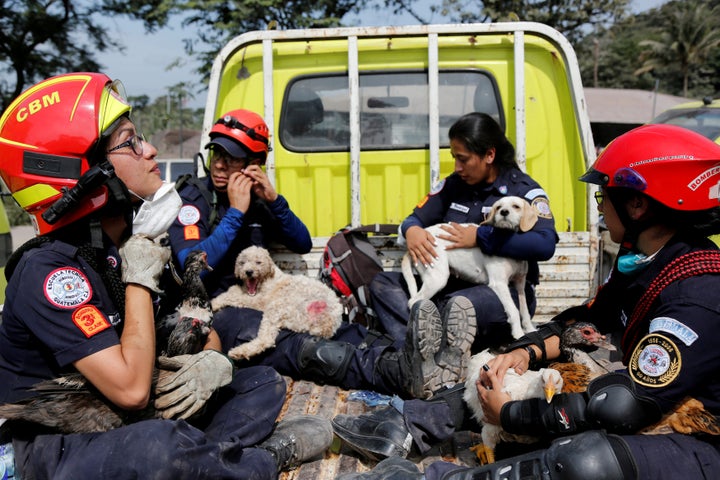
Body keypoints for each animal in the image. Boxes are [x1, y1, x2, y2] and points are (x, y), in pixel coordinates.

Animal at [211, 248, 344, 360]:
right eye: (242, 263)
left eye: (258, 262)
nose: (248, 272)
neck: (269, 277)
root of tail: (327, 326)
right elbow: (237, 290)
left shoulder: (262, 300)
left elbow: (235, 296)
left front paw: (214, 303)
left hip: (279, 306)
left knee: (267, 339)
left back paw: (239, 352)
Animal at [402, 195, 536, 338]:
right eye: (499, 207)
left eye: (516, 206)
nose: (503, 212)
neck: (507, 241)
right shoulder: (499, 283)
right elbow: (514, 310)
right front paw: (519, 334)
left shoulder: (520, 283)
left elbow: (524, 310)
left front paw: (529, 329)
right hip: (437, 278)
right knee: (413, 302)